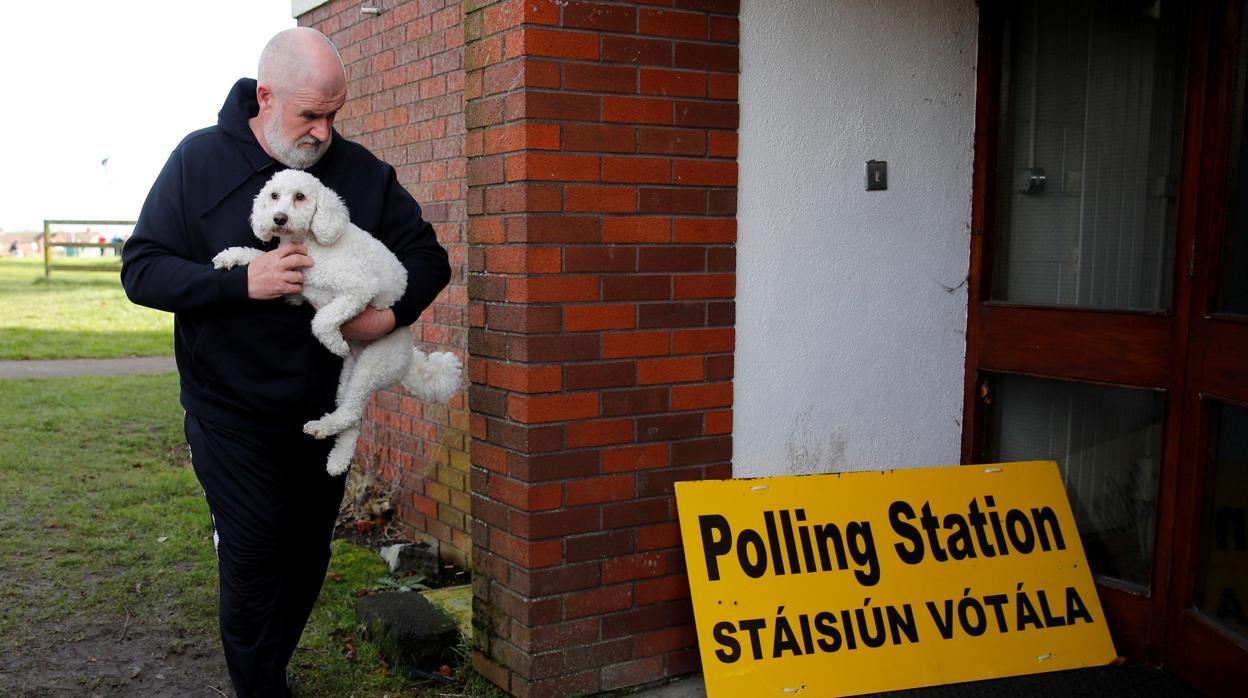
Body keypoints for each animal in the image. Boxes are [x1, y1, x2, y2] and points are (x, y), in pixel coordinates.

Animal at [212, 169, 461, 474]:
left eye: (300, 196)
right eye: (274, 196)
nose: (279, 218)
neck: (310, 242)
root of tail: (410, 354)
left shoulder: (358, 289)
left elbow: (321, 319)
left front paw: (333, 343)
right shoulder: (293, 282)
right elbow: (259, 257)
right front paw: (230, 256)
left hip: (373, 365)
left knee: (352, 411)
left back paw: (324, 427)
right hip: (348, 376)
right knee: (352, 419)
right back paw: (336, 458)